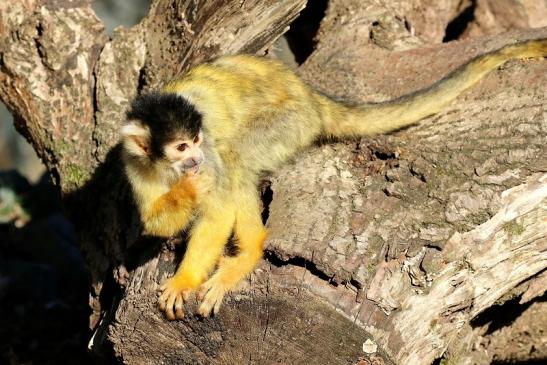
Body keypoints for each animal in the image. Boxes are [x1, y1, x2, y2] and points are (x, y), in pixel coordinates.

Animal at [122, 39, 547, 318]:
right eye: (180, 147)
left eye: (195, 141)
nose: (194, 159)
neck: (168, 169)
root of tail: (310, 97)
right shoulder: (133, 165)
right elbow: (155, 223)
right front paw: (184, 195)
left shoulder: (209, 159)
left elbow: (219, 205)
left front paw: (184, 280)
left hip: (291, 122)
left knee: (236, 158)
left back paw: (248, 254)